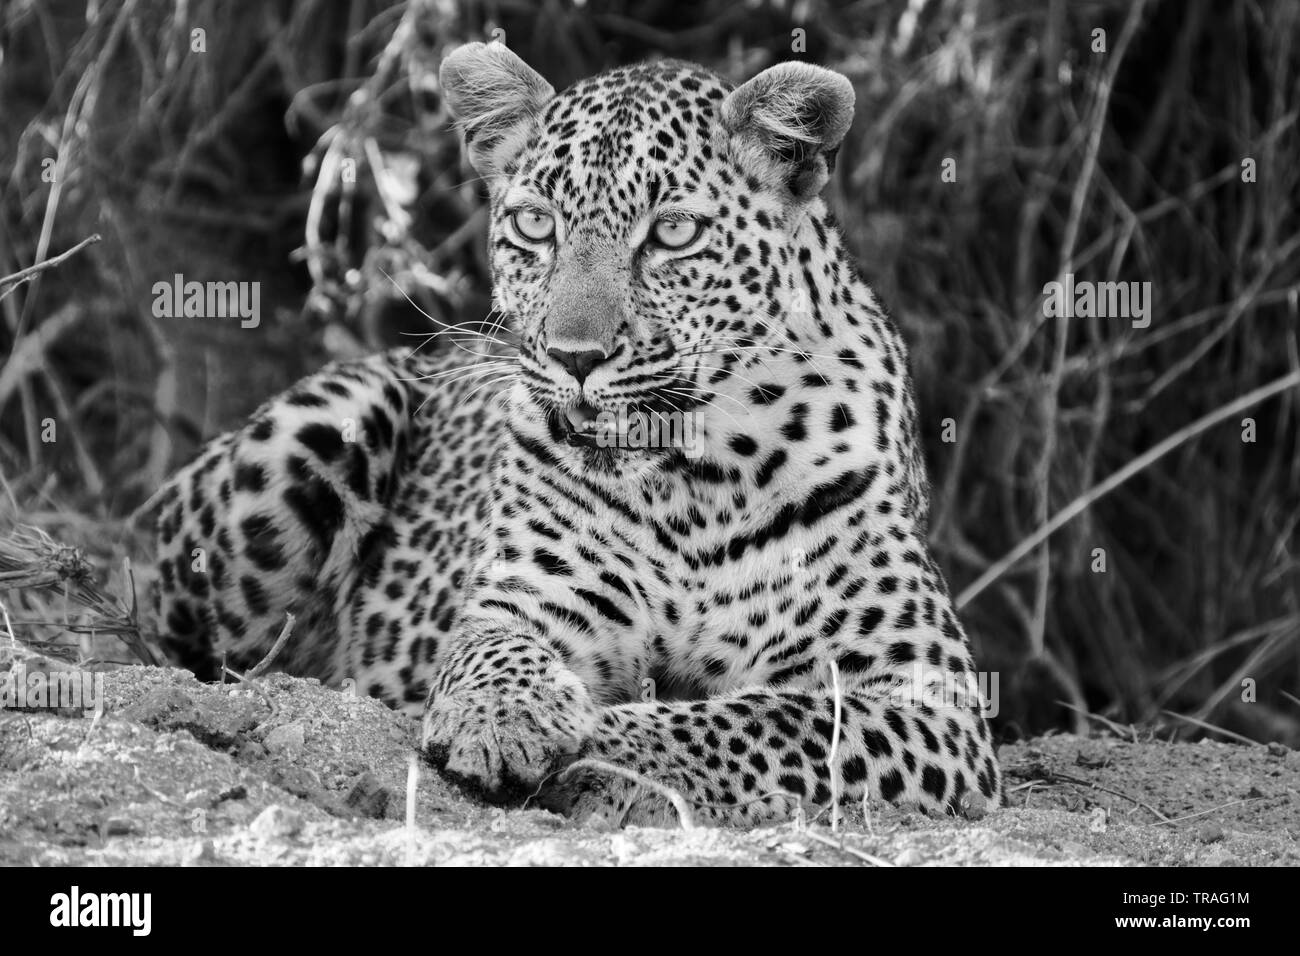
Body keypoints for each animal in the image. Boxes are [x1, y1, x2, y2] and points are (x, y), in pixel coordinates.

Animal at [151, 42, 1003, 827]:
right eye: (536, 225)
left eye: (674, 232)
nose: (575, 357)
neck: (694, 480)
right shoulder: (522, 605)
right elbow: (490, 650)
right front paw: (503, 719)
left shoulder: (923, 696)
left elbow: (758, 720)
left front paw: (601, 749)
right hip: (315, 431)